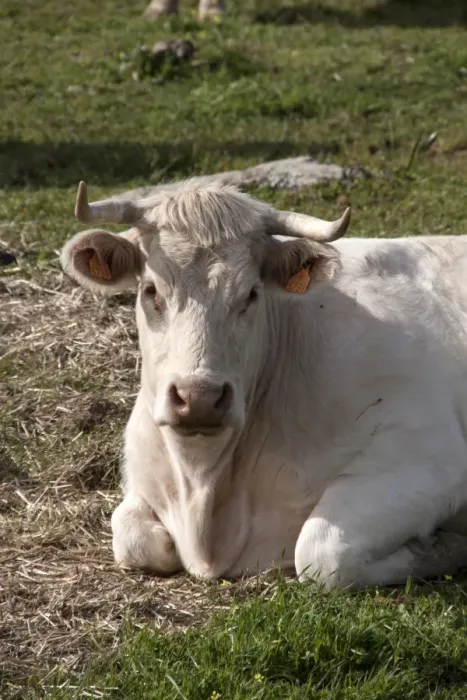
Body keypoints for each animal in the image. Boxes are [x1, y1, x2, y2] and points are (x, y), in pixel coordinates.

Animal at [61, 179, 467, 590]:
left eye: (251, 294)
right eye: (151, 291)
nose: (199, 398)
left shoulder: (430, 455)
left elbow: (321, 554)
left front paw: (445, 548)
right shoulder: (140, 477)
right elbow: (134, 540)